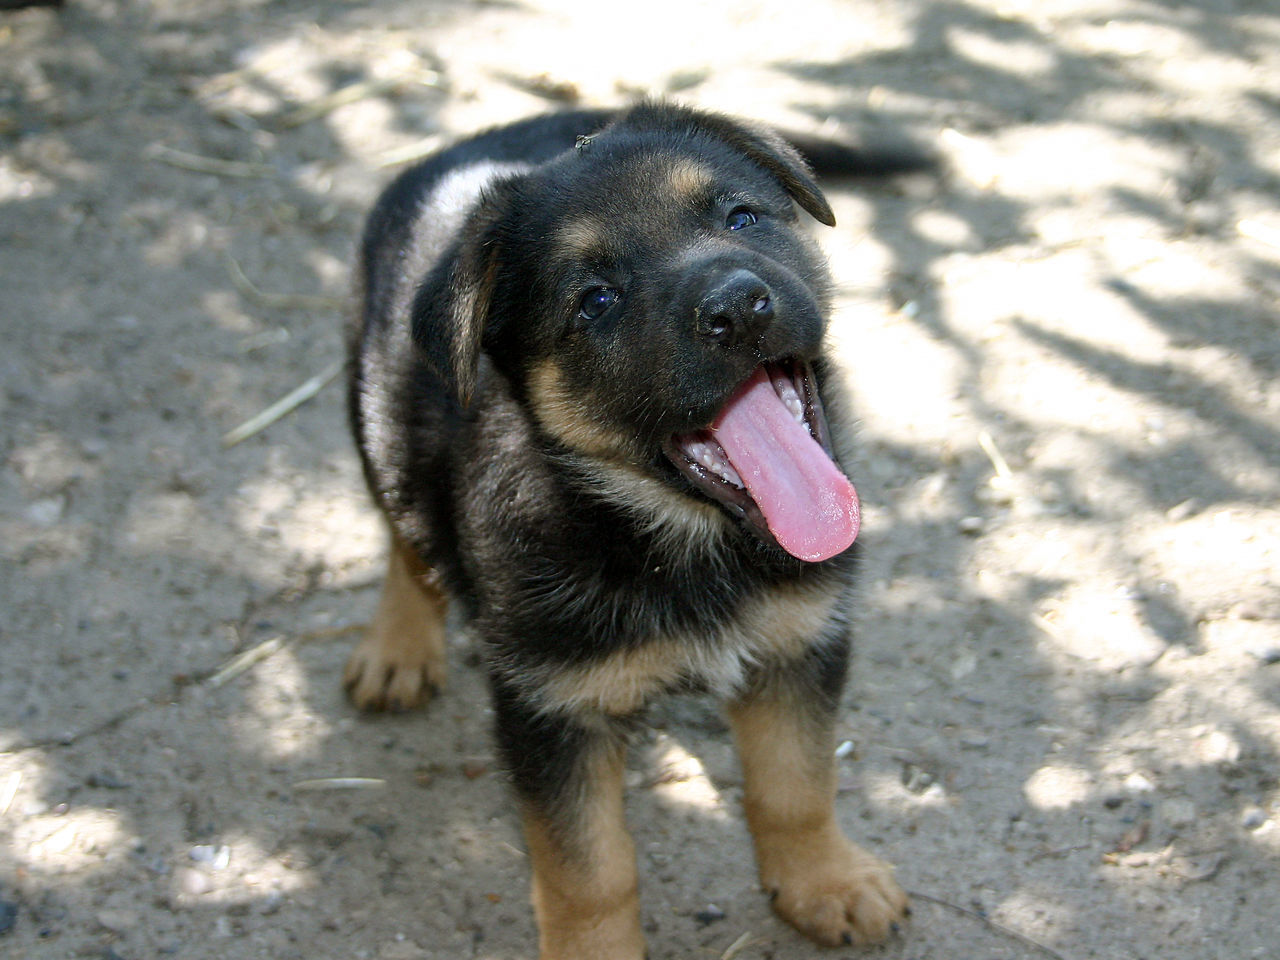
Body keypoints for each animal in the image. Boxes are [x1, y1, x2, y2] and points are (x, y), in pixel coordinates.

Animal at [340, 101, 921, 957]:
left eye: (740, 216)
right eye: (596, 300)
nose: (738, 308)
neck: (677, 539)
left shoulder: (799, 643)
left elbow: (796, 785)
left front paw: (825, 881)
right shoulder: (553, 712)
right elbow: (590, 873)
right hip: (372, 402)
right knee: (405, 527)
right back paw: (397, 643)